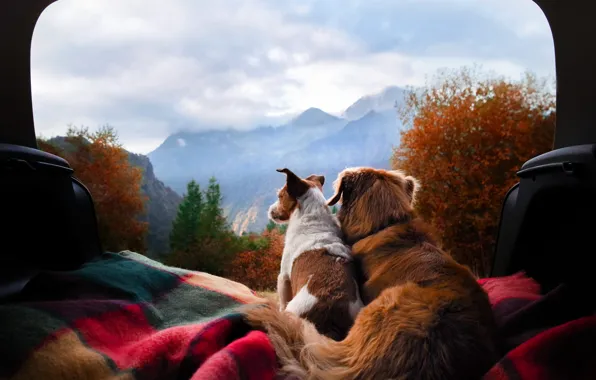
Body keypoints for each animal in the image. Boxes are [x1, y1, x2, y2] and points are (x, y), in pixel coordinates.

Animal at [268, 168, 364, 340]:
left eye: (280, 196)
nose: (270, 210)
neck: (312, 217)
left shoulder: (283, 277)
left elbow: (282, 299)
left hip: (293, 311)